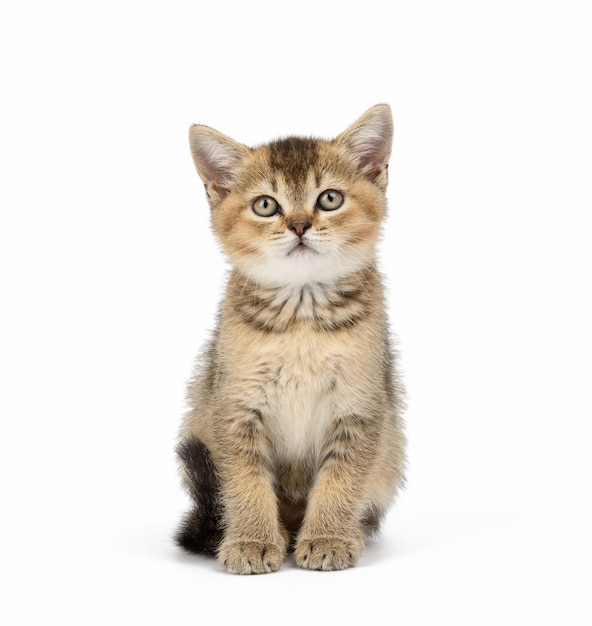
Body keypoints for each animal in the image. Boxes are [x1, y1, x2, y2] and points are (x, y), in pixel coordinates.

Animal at [177, 103, 408, 572]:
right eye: (265, 205)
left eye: (330, 198)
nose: (300, 225)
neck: (301, 317)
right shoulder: (234, 407)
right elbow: (245, 482)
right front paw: (252, 540)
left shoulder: (361, 406)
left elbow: (341, 479)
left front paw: (328, 537)